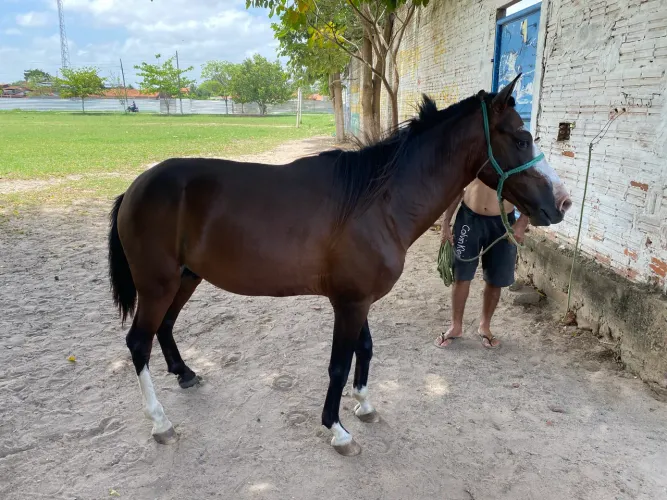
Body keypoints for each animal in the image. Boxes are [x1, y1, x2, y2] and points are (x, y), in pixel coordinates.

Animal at [108, 75, 571, 456]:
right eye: (522, 138)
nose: (562, 202)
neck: (377, 203)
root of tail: (135, 189)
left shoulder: (358, 300)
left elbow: (364, 350)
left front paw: (364, 405)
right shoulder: (348, 303)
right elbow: (338, 363)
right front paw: (338, 430)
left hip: (186, 279)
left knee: (165, 328)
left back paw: (185, 375)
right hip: (158, 285)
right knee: (138, 342)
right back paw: (161, 423)